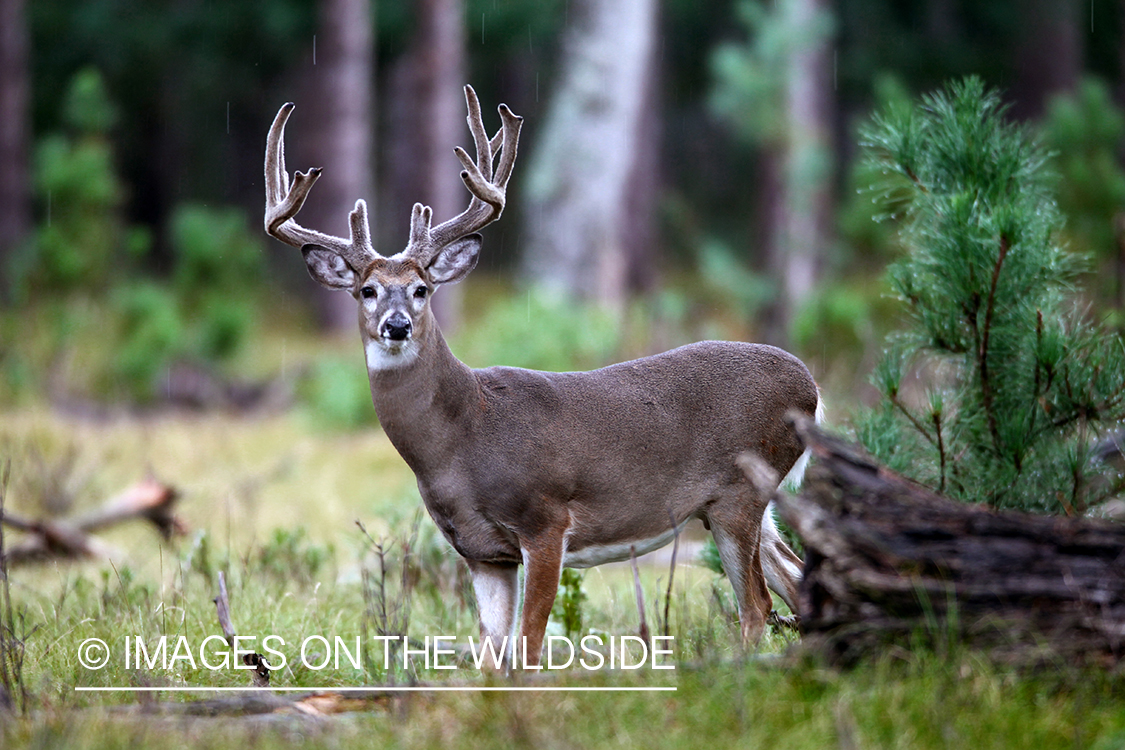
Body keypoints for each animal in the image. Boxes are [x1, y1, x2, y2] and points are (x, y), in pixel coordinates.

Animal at [266, 86, 823, 670]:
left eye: (421, 289)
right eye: (367, 290)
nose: (396, 326)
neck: (463, 438)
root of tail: (809, 387)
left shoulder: (546, 519)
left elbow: (529, 647)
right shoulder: (482, 552)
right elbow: (491, 655)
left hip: (740, 493)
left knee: (757, 605)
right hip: (743, 506)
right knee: (795, 583)